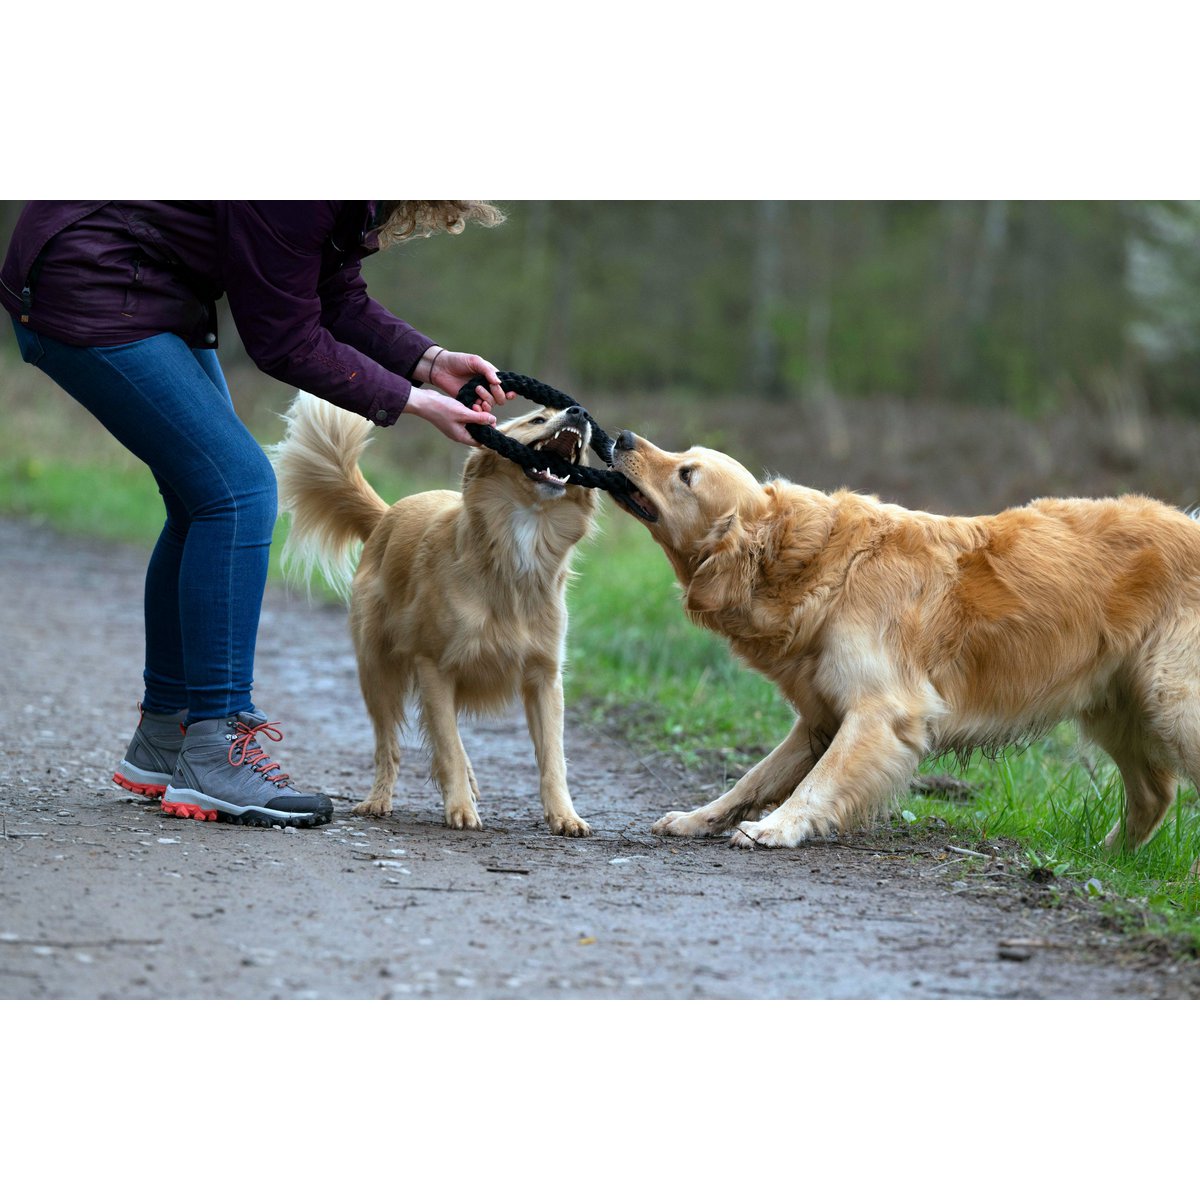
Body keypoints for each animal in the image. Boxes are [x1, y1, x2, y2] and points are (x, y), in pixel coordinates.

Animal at [267, 393, 595, 835]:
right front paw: (459, 808)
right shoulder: (434, 667)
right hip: (377, 672)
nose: (580, 412)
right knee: (389, 746)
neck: (516, 547)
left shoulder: (543, 676)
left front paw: (564, 815)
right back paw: (378, 800)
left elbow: (552, 757)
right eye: (537, 419)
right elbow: (447, 745)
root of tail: (388, 514)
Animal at [614, 432, 1200, 854]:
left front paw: (776, 828)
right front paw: (698, 818)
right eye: (683, 456)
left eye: (687, 474)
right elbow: (752, 779)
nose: (620, 437)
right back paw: (1109, 857)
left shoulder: (882, 711)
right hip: (1119, 708)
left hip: (1172, 704)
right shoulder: (820, 718)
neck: (816, 566)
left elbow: (817, 783)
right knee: (1155, 793)